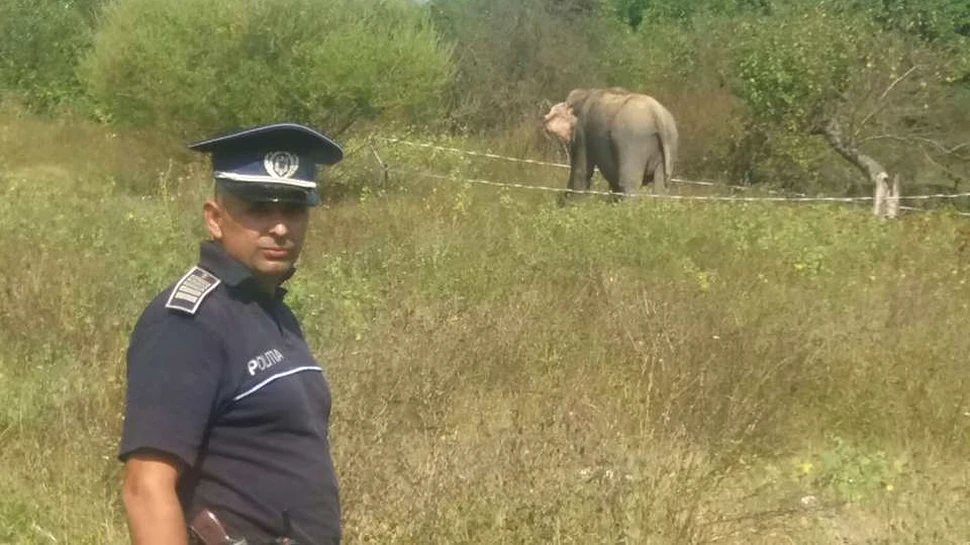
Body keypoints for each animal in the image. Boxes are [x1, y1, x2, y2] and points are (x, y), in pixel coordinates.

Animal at [543, 87, 678, 198]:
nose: (560, 200)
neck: (585, 94)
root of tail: (657, 114)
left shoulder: (582, 131)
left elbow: (581, 171)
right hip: (670, 142)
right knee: (661, 186)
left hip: (633, 141)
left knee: (629, 183)